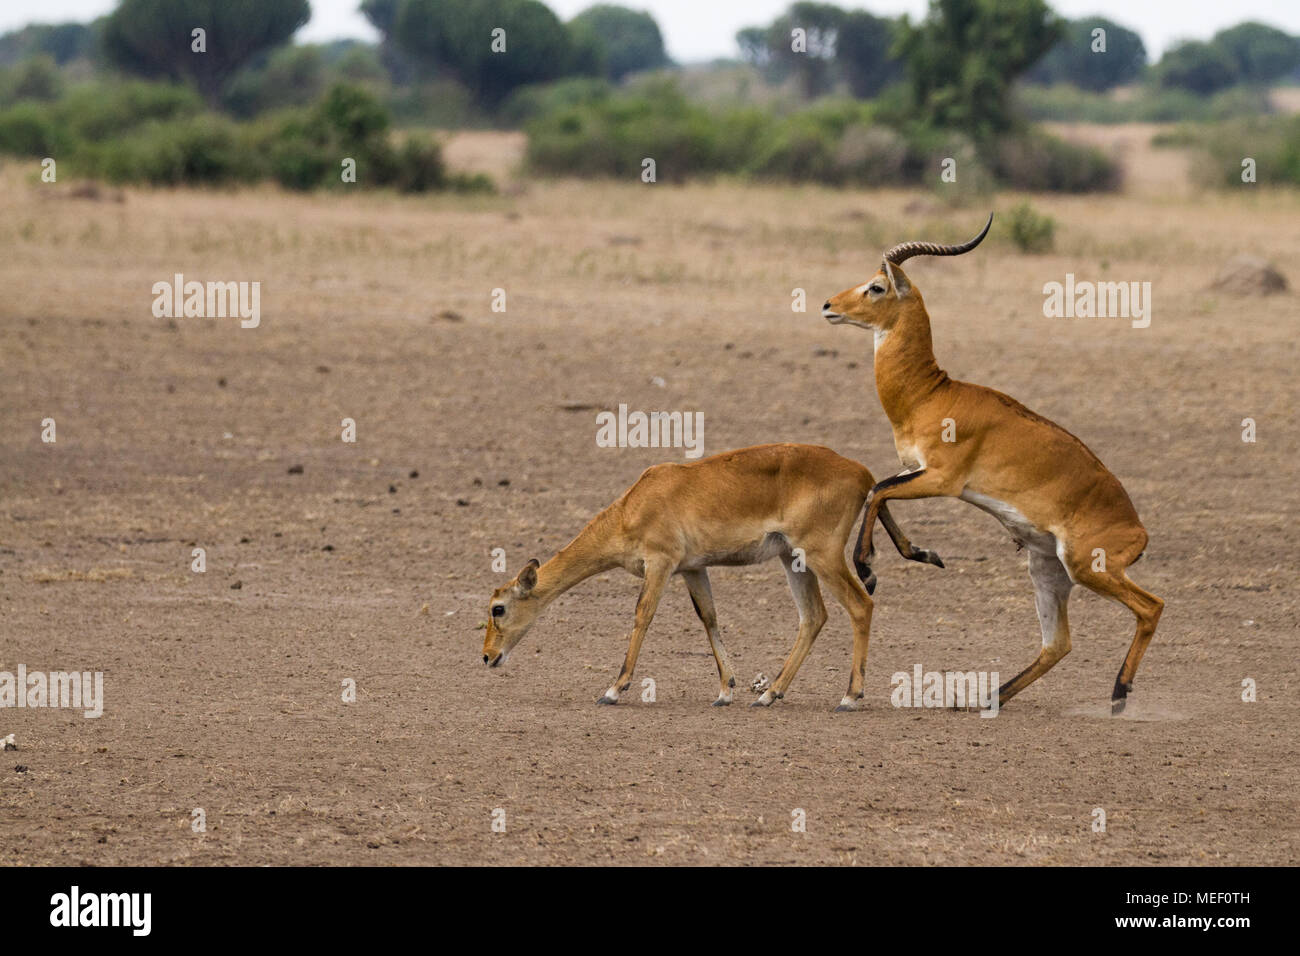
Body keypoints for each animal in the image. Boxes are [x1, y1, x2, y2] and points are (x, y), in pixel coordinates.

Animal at [483, 444, 941, 707]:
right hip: (792, 558)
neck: (635, 504)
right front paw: (726, 689)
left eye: (498, 608)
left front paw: (613, 689)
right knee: (814, 616)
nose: (487, 657)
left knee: (861, 604)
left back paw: (849, 695)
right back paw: (770, 694)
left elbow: (642, 615)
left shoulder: (661, 563)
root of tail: (865, 475)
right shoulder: (693, 568)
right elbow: (709, 618)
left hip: (822, 555)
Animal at [821, 214, 1170, 712]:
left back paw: (1119, 695)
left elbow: (878, 491)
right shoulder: (913, 469)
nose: (828, 305)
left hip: (1090, 568)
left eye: (876, 286)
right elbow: (878, 490)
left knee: (1151, 606)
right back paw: (985, 698)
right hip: (1048, 569)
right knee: (1058, 644)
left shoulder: (942, 481)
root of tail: (1138, 531)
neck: (929, 394)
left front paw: (868, 569)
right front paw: (924, 554)